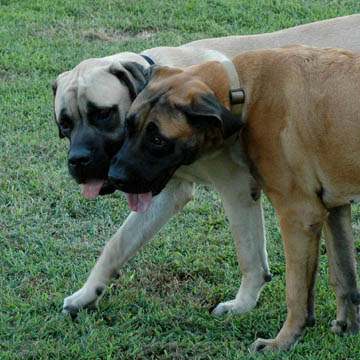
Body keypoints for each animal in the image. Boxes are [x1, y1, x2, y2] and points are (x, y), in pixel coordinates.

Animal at [52, 14, 360, 318]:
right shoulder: (162, 189)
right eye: (64, 123)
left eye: (103, 114)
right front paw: (86, 294)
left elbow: (249, 255)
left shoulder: (236, 189)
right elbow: (118, 244)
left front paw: (243, 303)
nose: (78, 161)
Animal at [109, 45, 360, 352]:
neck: (244, 89)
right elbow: (344, 277)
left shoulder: (300, 214)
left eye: (158, 140)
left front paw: (283, 341)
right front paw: (347, 327)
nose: (114, 176)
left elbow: (296, 291)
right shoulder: (334, 206)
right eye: (128, 126)